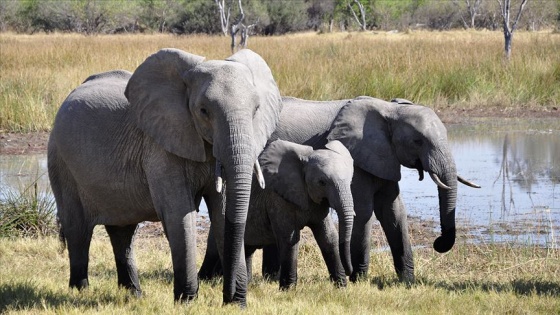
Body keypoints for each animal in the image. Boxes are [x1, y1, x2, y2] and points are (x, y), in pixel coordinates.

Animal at [47, 47, 282, 306]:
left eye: (256, 110)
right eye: (203, 111)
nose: (229, 297)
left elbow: (222, 213)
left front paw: (235, 304)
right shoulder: (159, 147)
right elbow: (179, 213)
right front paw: (187, 301)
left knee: (123, 232)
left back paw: (134, 294)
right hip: (60, 160)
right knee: (77, 228)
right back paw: (80, 291)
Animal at [199, 141, 354, 292]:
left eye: (350, 181)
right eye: (322, 182)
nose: (350, 271)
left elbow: (328, 237)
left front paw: (341, 288)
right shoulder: (277, 198)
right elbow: (290, 239)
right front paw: (288, 290)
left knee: (247, 249)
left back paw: (244, 282)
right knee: (214, 249)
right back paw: (204, 280)